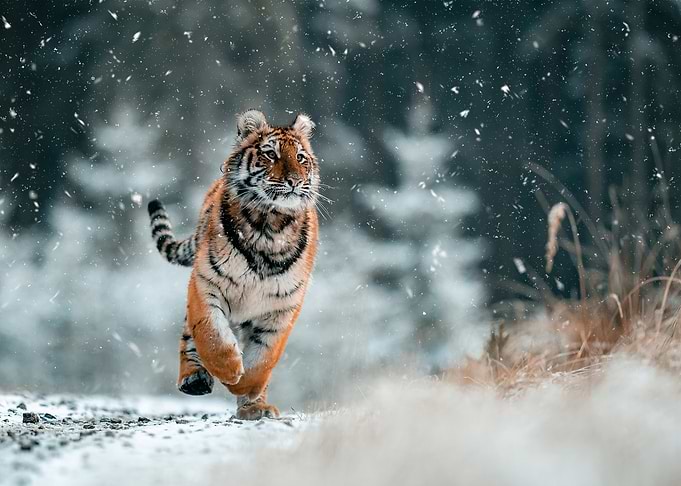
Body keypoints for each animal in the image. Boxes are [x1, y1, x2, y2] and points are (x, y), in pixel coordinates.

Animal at [147, 110, 319, 420]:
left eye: (300, 157)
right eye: (270, 154)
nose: (294, 181)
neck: (270, 225)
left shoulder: (283, 307)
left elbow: (265, 357)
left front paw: (246, 388)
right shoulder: (206, 283)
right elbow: (211, 334)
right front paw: (229, 371)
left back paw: (256, 408)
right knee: (189, 335)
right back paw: (194, 379)